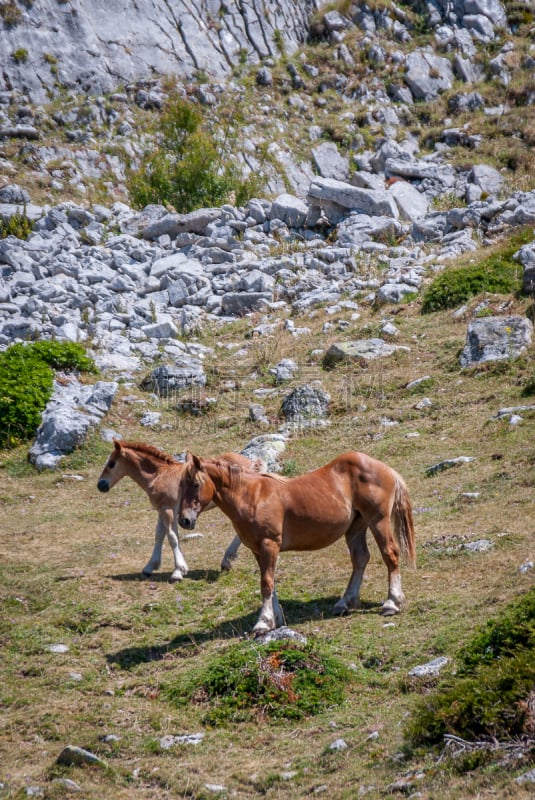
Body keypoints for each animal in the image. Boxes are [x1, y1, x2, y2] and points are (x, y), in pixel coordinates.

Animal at [98, 444, 262, 580]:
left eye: (111, 463)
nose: (101, 485)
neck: (159, 475)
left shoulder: (169, 509)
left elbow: (172, 537)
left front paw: (179, 571)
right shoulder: (161, 510)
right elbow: (159, 535)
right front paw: (150, 566)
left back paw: (228, 558)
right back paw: (227, 560)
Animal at [178, 454, 416, 636]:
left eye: (196, 484)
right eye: (181, 485)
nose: (185, 520)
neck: (252, 496)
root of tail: (384, 468)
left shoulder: (269, 544)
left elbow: (266, 583)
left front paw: (263, 622)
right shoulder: (258, 549)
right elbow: (270, 582)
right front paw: (275, 619)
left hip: (378, 521)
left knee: (390, 555)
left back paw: (392, 603)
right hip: (355, 528)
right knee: (360, 559)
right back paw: (345, 602)